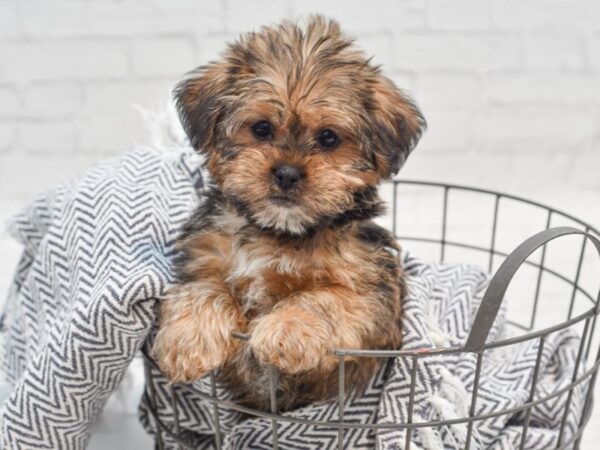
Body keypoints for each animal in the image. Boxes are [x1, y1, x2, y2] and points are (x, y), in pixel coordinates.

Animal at [155, 14, 426, 412]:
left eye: (329, 138)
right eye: (261, 128)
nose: (286, 173)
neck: (278, 232)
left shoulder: (372, 295)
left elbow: (324, 298)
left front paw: (287, 328)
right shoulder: (204, 259)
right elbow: (203, 289)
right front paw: (188, 340)